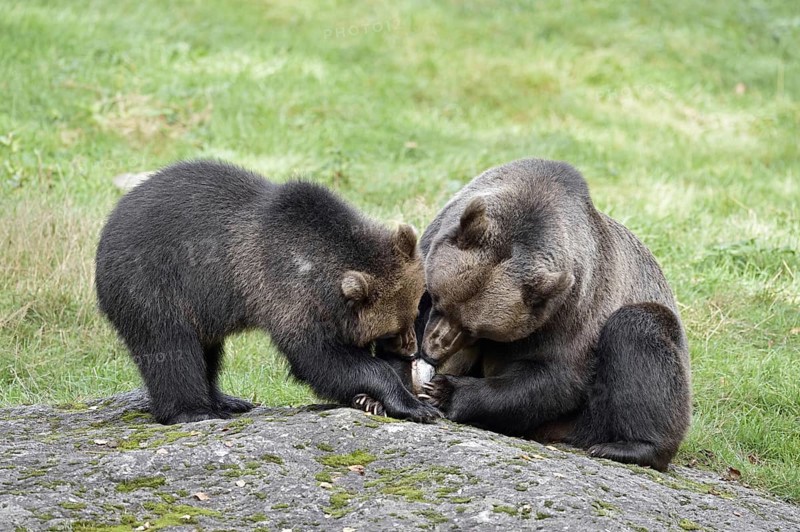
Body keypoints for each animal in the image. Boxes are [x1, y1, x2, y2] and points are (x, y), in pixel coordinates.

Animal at [95, 160, 440, 425]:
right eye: (393, 328)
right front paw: (413, 405)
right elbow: (320, 359)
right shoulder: (286, 294)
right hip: (153, 284)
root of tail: (108, 226)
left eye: (414, 310)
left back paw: (226, 400)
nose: (410, 349)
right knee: (171, 347)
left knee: (208, 351)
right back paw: (195, 411)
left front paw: (376, 400)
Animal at [415, 158, 691, 471]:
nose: (432, 349)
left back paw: (628, 447)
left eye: (474, 330)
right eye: (438, 301)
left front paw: (443, 391)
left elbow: (554, 378)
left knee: (638, 331)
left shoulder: (569, 309)